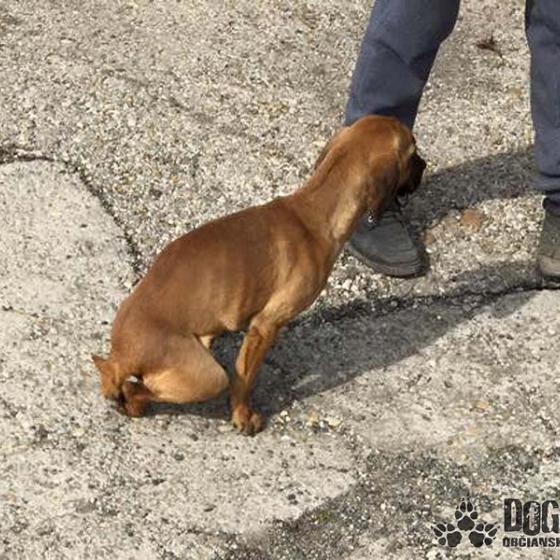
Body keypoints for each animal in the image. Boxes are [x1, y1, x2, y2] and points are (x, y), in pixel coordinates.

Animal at [92, 115, 426, 435]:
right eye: (413, 152)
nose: (425, 165)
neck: (314, 212)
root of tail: (121, 355)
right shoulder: (265, 326)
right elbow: (244, 378)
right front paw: (242, 416)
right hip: (209, 376)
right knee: (134, 391)